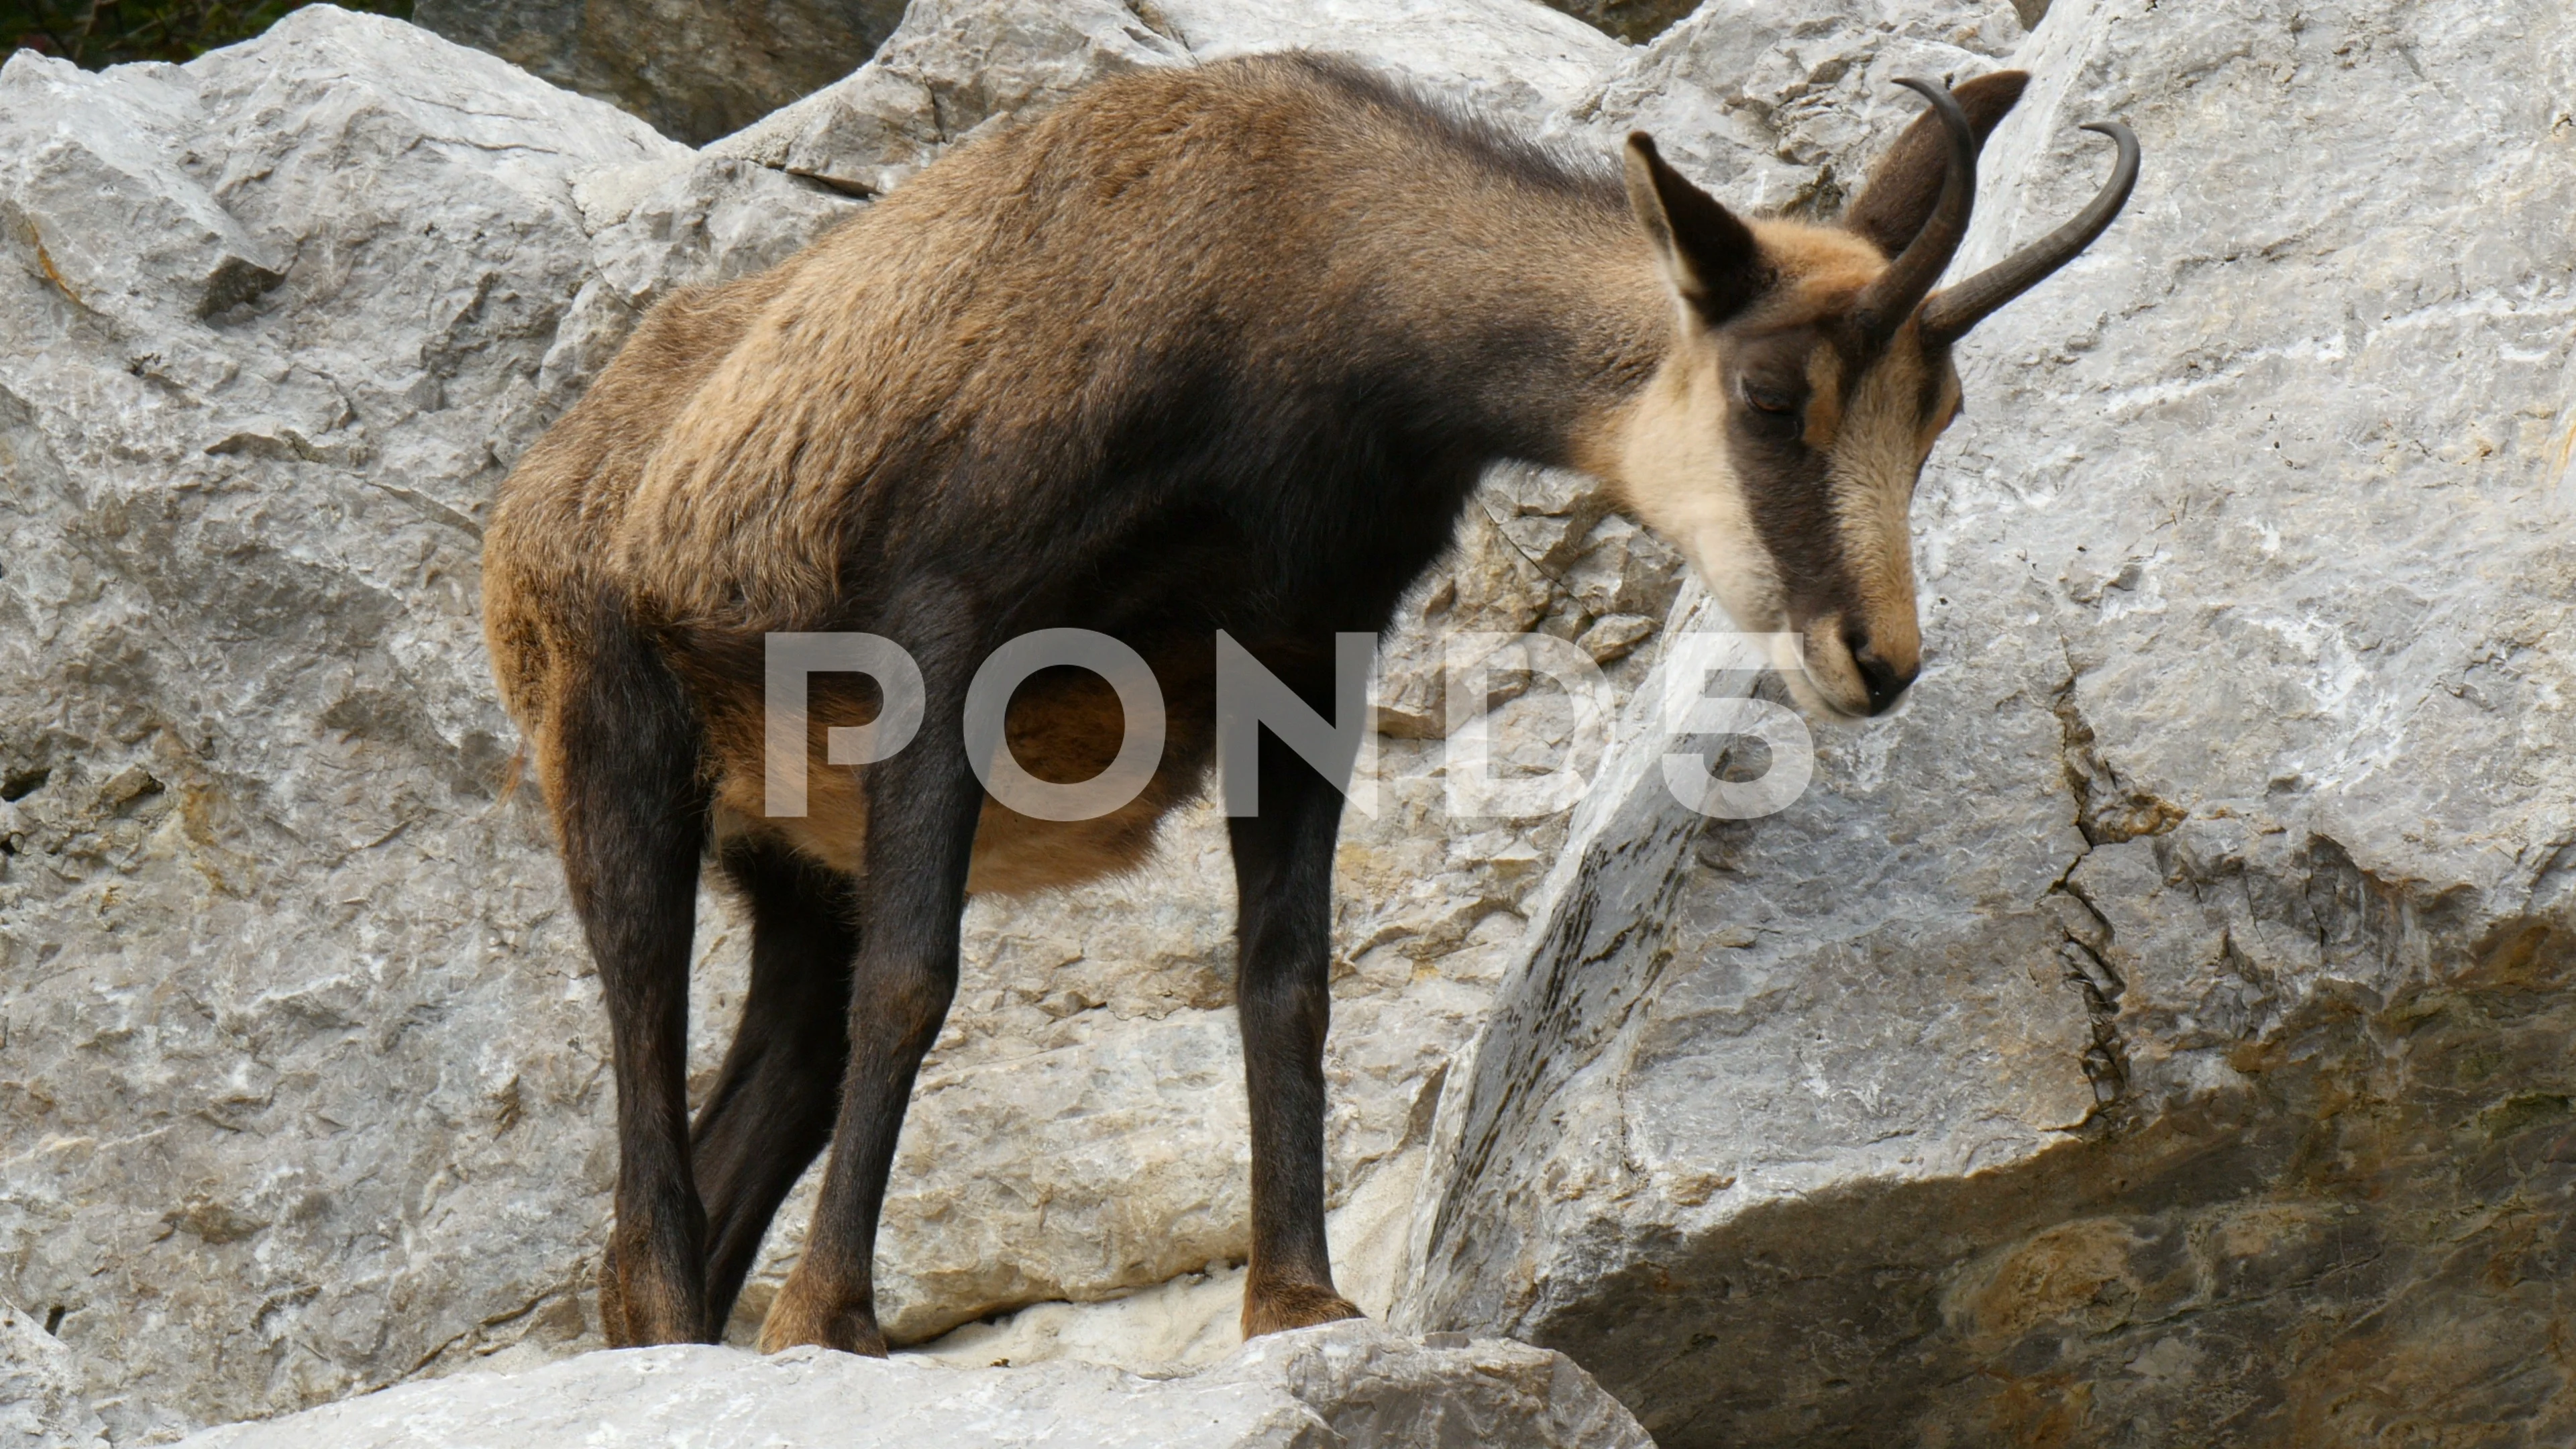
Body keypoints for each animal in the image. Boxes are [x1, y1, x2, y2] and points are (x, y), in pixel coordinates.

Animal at [479, 50, 2133, 1350]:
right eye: (1773, 395)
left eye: (1941, 409)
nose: (1875, 658)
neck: (1305, 288)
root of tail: (550, 483)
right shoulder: (947, 627)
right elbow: (919, 976)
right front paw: (833, 1322)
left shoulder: (1303, 657)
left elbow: (1287, 979)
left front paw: (1296, 1303)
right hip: (613, 744)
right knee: (647, 1025)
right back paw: (680, 1318)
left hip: (795, 855)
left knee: (780, 1066)